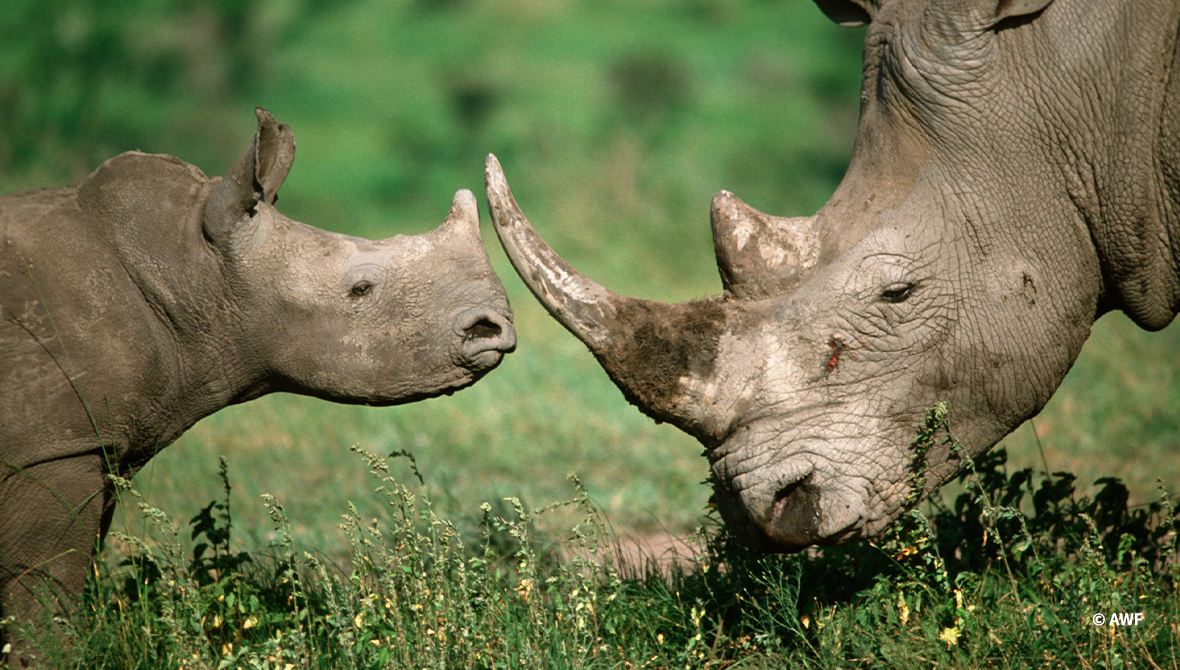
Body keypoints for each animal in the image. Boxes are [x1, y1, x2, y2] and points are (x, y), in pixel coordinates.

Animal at [0, 108, 515, 632]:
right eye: (361, 289)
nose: (492, 327)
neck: (192, 269)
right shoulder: (57, 447)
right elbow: (42, 593)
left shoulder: (95, 443)